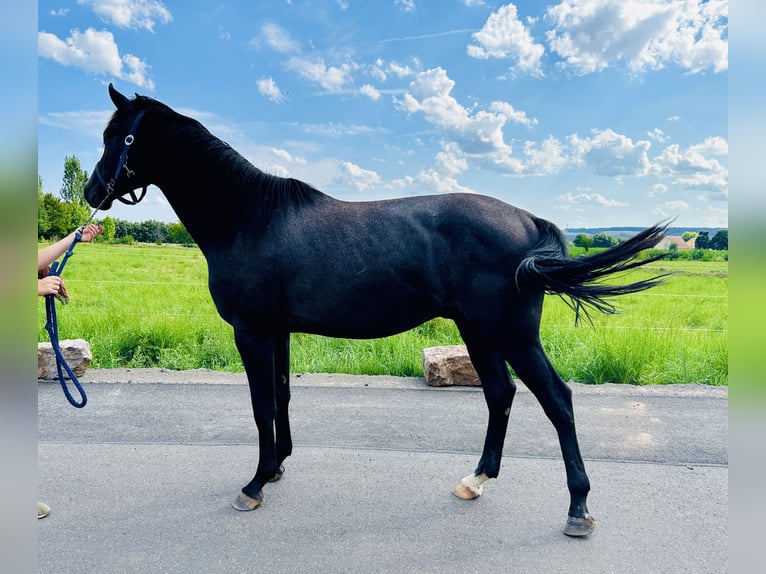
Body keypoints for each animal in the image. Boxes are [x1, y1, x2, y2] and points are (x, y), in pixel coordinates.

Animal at [87, 85, 668, 540]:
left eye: (119, 136)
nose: (94, 189)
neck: (249, 219)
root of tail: (528, 220)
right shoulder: (277, 331)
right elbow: (282, 395)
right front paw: (277, 468)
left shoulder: (252, 332)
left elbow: (261, 405)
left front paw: (254, 484)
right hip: (478, 331)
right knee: (501, 395)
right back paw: (475, 480)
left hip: (511, 334)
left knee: (557, 401)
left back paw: (578, 508)